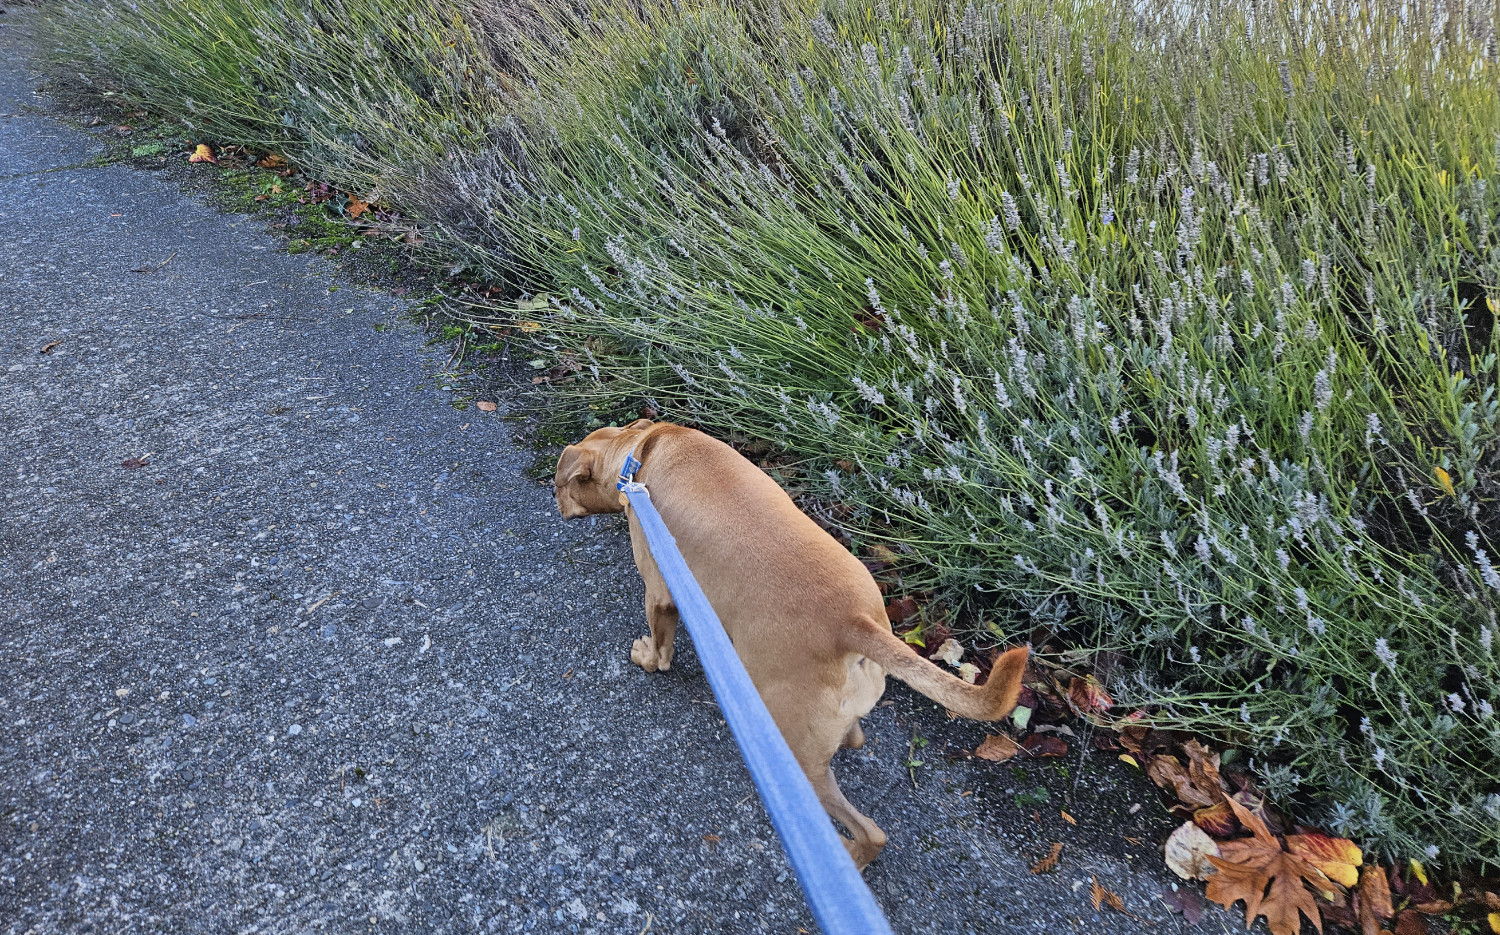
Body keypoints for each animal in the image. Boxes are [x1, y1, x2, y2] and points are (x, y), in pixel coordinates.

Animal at [555, 420, 1032, 864]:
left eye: (561, 485)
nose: (555, 503)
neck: (640, 453)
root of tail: (853, 623)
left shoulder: (659, 594)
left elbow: (661, 648)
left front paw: (647, 658)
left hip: (796, 760)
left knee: (870, 833)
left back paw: (849, 854)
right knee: (853, 740)